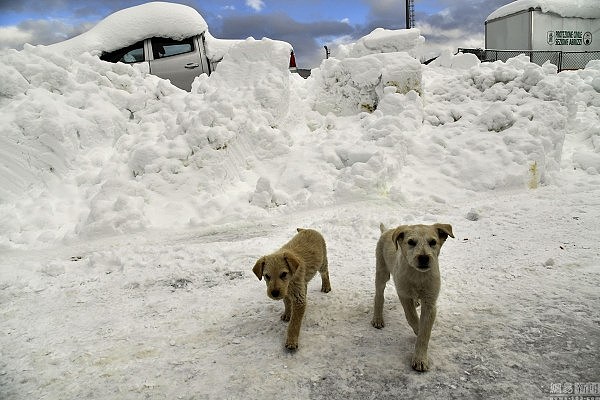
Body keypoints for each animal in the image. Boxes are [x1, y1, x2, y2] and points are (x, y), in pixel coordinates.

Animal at [370, 222, 454, 372]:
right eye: (411, 242)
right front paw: (417, 329)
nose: (424, 257)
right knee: (379, 296)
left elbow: (425, 332)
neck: (418, 276)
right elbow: (412, 317)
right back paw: (378, 318)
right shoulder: (404, 294)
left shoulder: (430, 302)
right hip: (382, 271)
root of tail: (387, 231)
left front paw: (420, 358)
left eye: (433, 242)